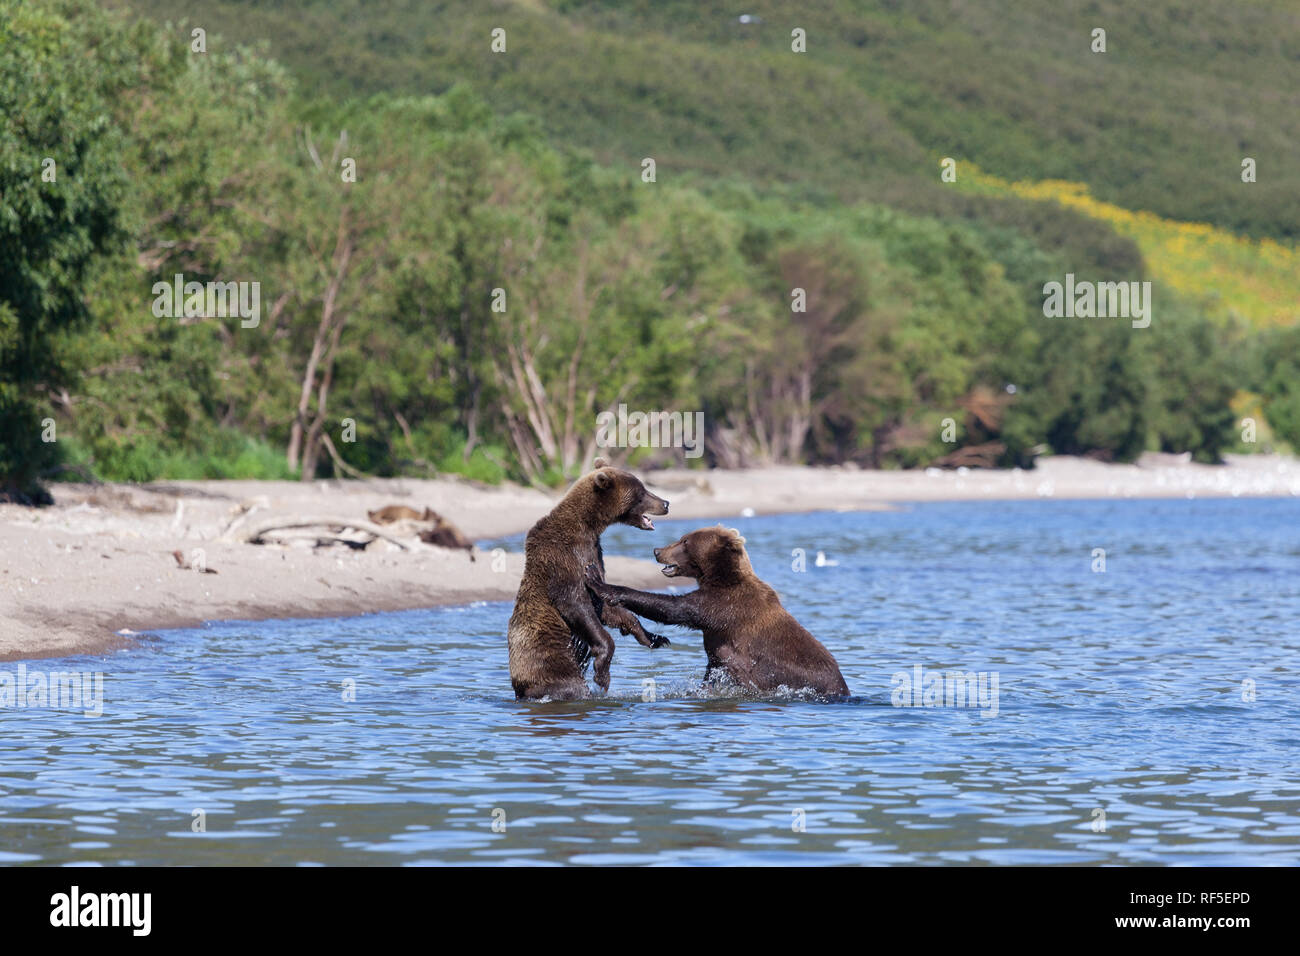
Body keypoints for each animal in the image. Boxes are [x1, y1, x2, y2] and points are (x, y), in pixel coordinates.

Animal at [506, 460, 670, 697]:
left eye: (644, 488)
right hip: (549, 658)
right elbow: (576, 604)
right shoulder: (565, 559)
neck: (588, 527)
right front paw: (602, 674)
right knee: (566, 680)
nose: (666, 503)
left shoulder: (594, 553)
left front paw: (654, 638)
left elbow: (605, 605)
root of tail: (520, 688)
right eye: (641, 494)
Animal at [585, 528, 847, 697]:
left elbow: (675, 609)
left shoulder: (726, 607)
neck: (720, 576)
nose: (657, 550)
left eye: (685, 541)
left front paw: (601, 583)